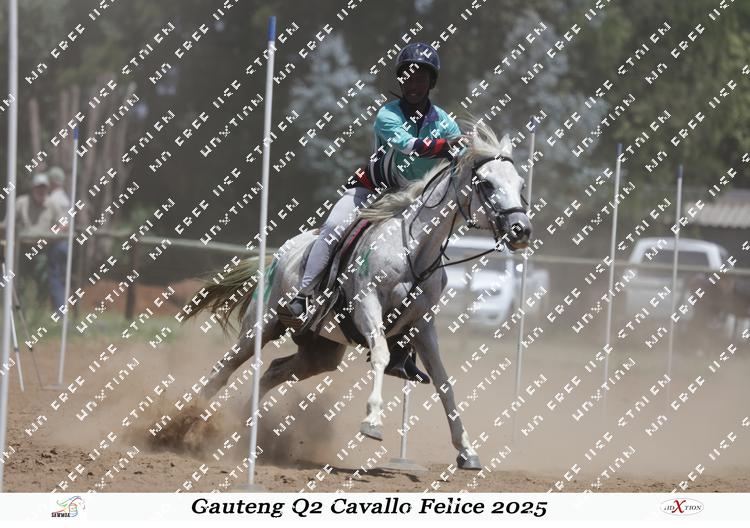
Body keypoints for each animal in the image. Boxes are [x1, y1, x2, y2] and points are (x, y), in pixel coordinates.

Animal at [181, 121, 532, 470]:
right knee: (223, 370)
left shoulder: (422, 325)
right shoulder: (367, 306)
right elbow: (381, 355)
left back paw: (245, 426)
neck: (413, 248)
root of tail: (279, 255)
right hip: (260, 327)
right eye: (486, 183)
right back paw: (186, 423)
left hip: (319, 353)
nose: (521, 230)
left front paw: (467, 450)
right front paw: (372, 421)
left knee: (273, 371)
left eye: (520, 184)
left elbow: (444, 383)